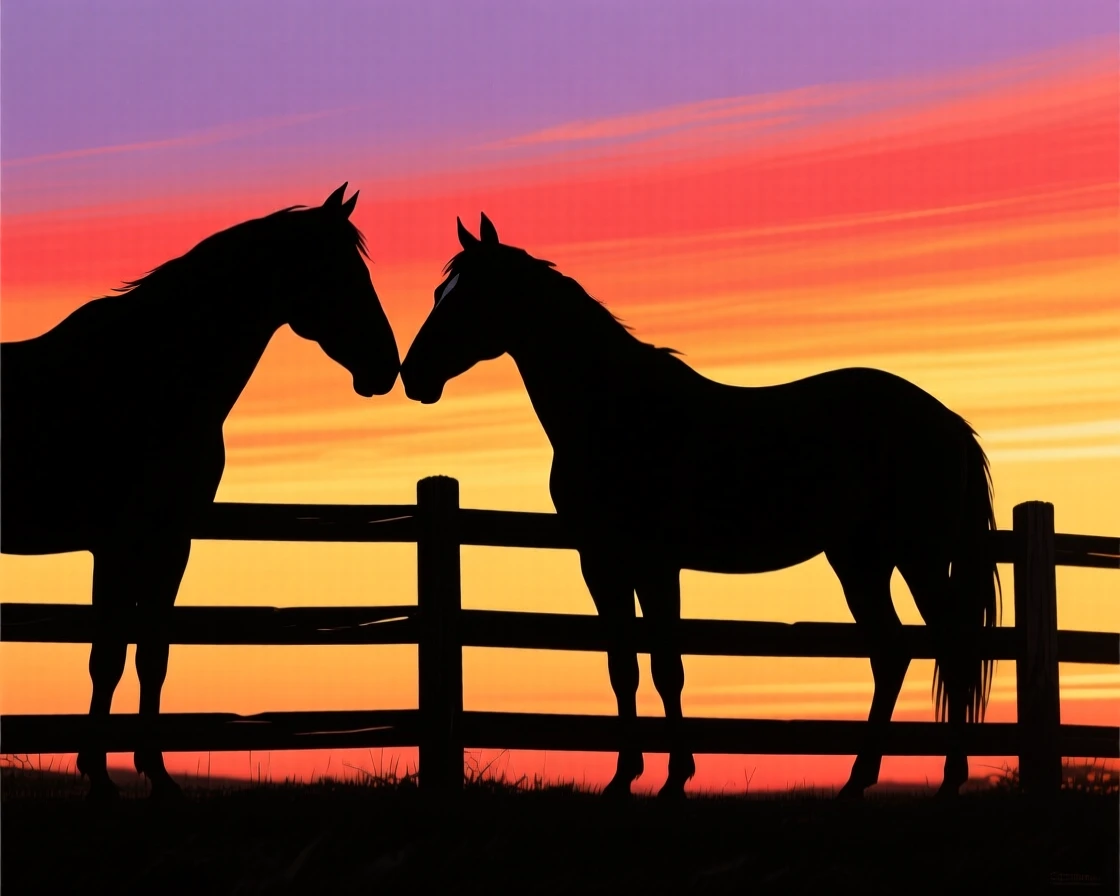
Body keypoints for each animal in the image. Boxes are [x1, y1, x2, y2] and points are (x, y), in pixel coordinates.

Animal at [0, 184, 401, 801]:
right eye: (339, 273)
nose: (386, 365)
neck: (152, 377)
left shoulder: (172, 541)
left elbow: (152, 655)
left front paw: (158, 776)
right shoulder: (116, 543)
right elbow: (107, 656)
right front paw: (99, 780)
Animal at [399, 213, 1002, 802]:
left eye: (470, 295)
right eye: (437, 292)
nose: (412, 375)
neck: (614, 414)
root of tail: (948, 421)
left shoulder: (656, 563)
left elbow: (667, 666)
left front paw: (674, 779)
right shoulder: (600, 562)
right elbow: (623, 666)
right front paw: (624, 778)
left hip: (918, 557)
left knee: (950, 647)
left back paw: (948, 779)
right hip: (861, 561)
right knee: (891, 652)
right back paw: (858, 780)